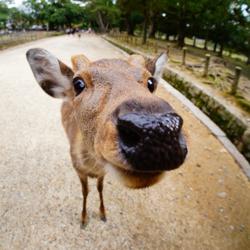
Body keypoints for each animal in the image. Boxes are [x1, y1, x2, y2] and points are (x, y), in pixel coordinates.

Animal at [26, 48, 188, 227]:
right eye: (78, 83)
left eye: (151, 82)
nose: (157, 129)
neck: (91, 167)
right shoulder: (78, 169)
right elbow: (85, 191)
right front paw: (83, 219)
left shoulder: (102, 172)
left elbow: (99, 188)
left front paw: (103, 214)